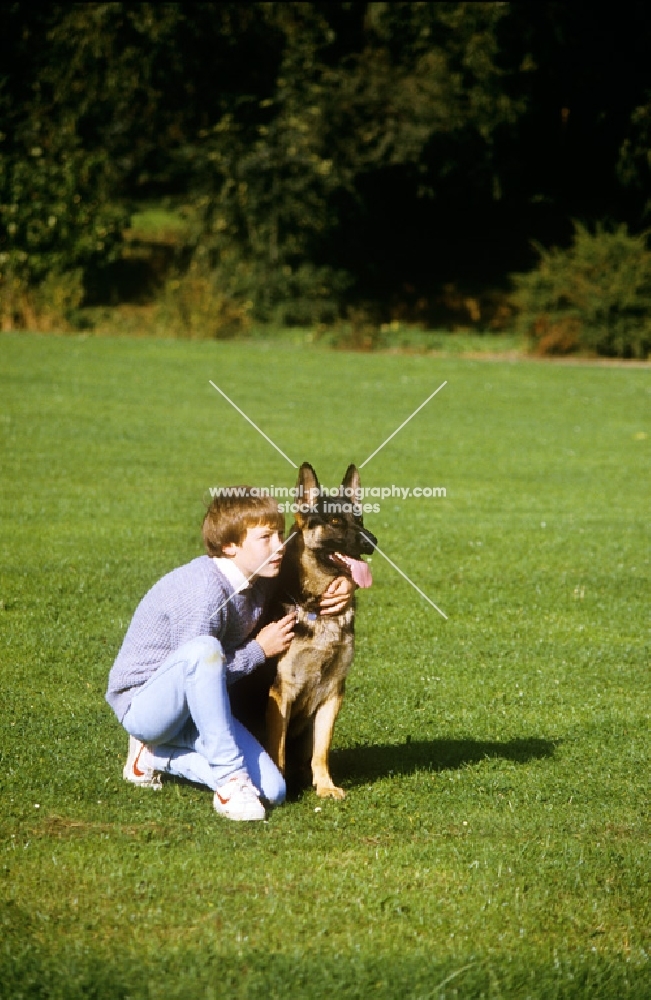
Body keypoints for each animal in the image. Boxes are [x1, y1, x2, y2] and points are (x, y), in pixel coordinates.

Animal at [233, 464, 376, 800]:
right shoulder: (281, 693)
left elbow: (320, 750)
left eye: (360, 519)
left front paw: (325, 786)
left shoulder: (333, 692)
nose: (372, 542)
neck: (316, 608)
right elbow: (277, 752)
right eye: (335, 522)